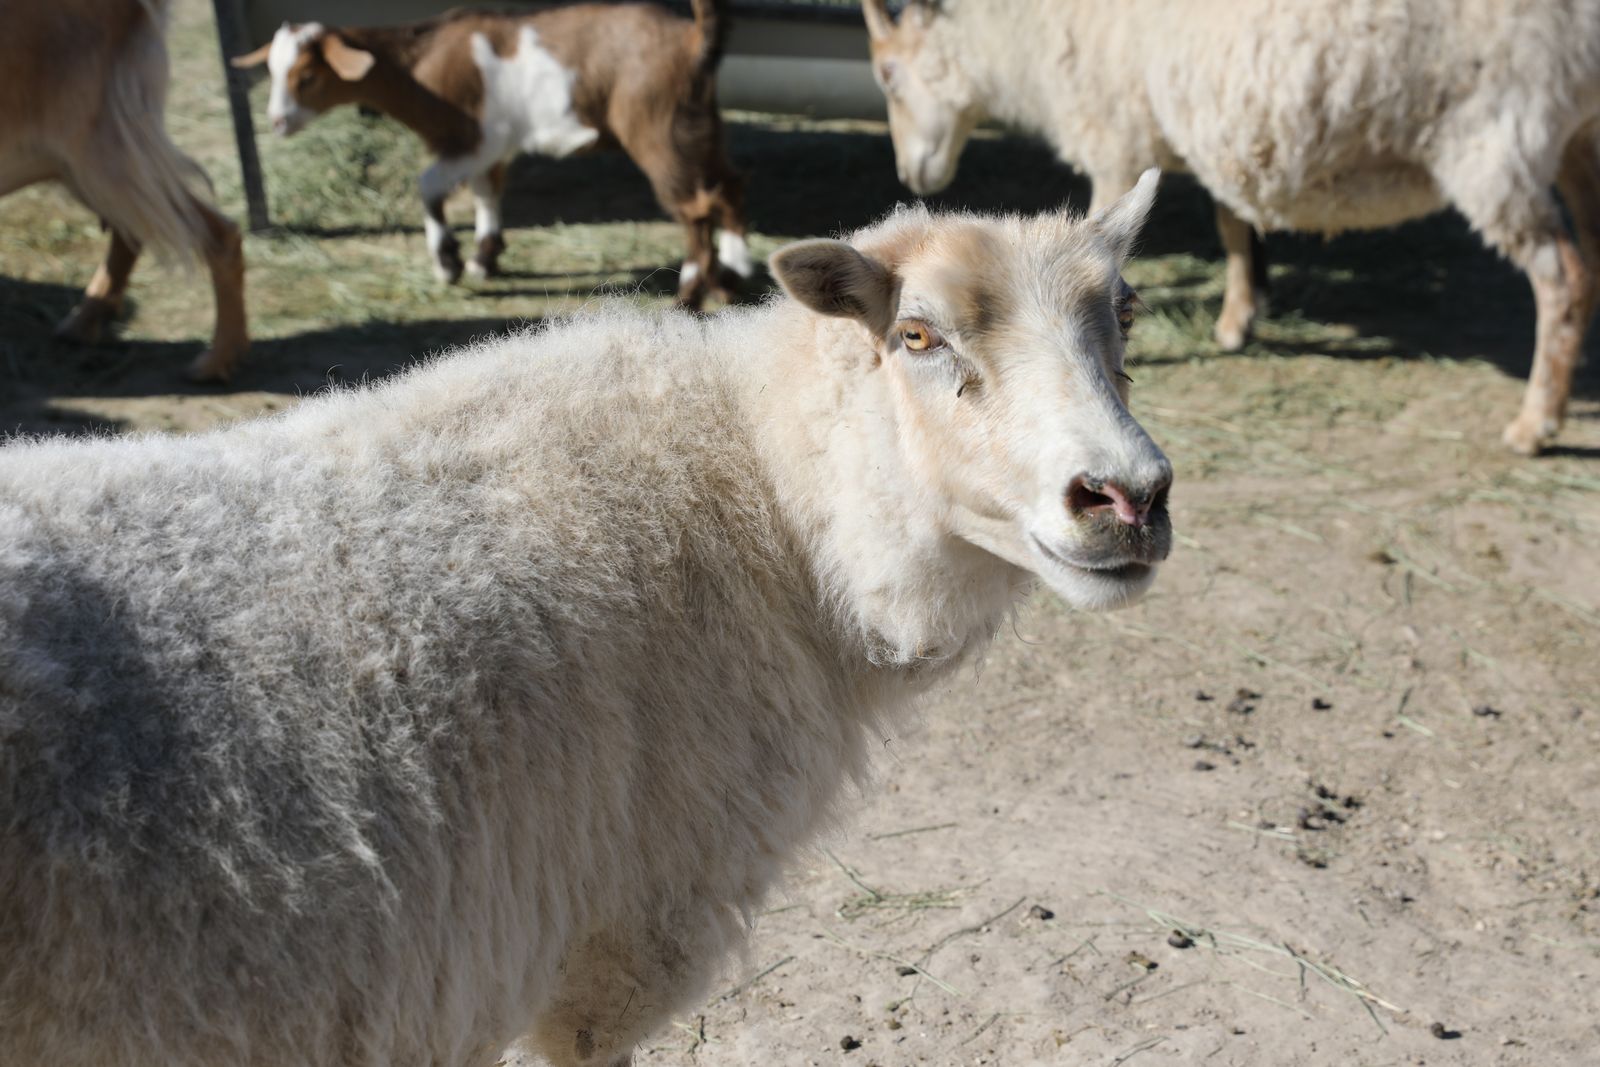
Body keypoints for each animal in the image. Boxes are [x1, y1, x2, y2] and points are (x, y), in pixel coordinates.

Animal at [0, 0, 248, 381]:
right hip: (77, 161)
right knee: (131, 232)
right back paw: (85, 320)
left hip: (102, 149)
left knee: (219, 234)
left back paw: (217, 359)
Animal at [233, 1, 753, 309]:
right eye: (272, 71)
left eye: (306, 77)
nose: (277, 122)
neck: (419, 63)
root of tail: (693, 40)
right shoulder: (488, 148)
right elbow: (487, 191)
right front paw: (486, 258)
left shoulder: (474, 138)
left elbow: (429, 186)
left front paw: (449, 263)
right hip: (699, 126)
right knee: (727, 186)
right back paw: (730, 277)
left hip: (657, 131)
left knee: (695, 208)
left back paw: (688, 295)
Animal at [862, 0, 1600, 454]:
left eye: (889, 73)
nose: (911, 174)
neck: (1020, 39)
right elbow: (1232, 220)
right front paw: (1239, 318)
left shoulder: (1116, 134)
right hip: (1576, 137)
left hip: (1495, 140)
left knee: (1561, 275)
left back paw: (1535, 423)